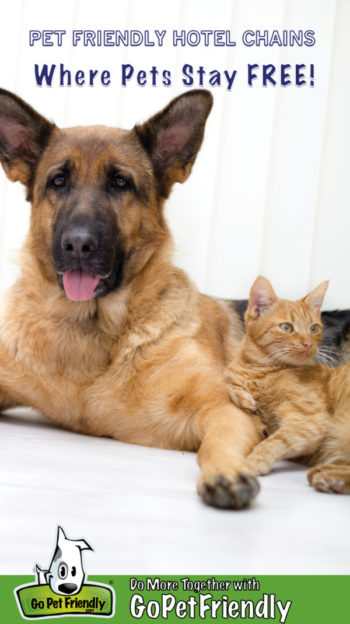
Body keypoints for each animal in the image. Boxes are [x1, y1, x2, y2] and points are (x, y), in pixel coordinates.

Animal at [226, 276, 350, 492]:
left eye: (313, 328)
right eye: (286, 328)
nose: (308, 344)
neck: (260, 370)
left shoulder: (309, 421)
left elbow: (278, 440)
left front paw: (254, 460)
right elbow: (229, 384)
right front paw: (244, 399)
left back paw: (329, 477)